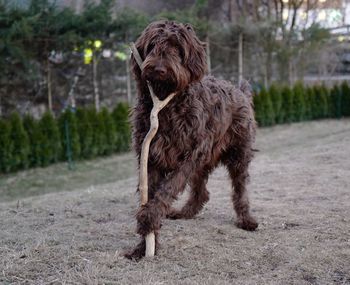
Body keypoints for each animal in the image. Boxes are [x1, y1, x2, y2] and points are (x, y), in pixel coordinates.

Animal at [124, 20, 258, 260]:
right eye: (152, 45)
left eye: (178, 48)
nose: (159, 69)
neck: (166, 107)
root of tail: (239, 90)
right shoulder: (150, 155)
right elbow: (151, 191)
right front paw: (144, 245)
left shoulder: (190, 155)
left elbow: (168, 188)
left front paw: (148, 217)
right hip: (204, 162)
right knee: (202, 192)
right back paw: (185, 212)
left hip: (237, 154)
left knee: (240, 188)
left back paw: (246, 219)